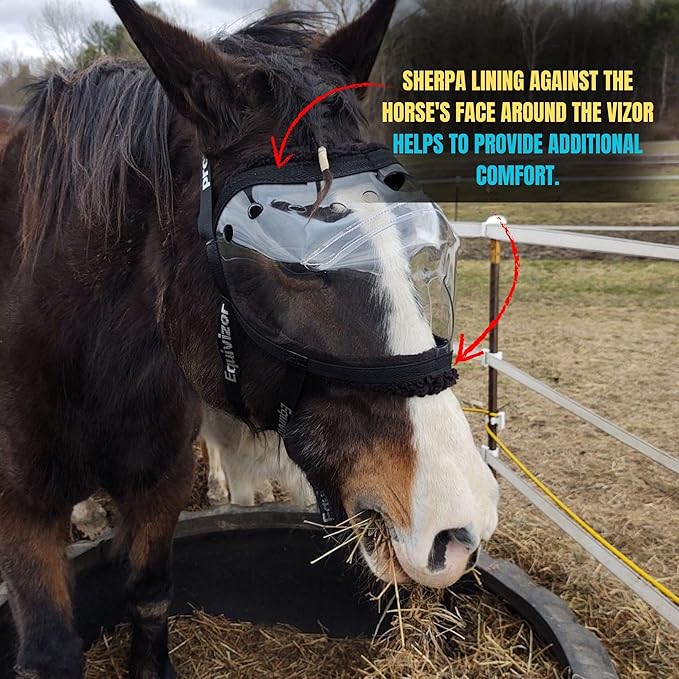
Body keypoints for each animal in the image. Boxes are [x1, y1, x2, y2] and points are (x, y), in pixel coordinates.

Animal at [0, 1, 499, 677]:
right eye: (291, 262)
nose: (460, 519)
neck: (86, 362)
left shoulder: (160, 486)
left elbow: (151, 597)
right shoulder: (21, 512)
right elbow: (51, 649)